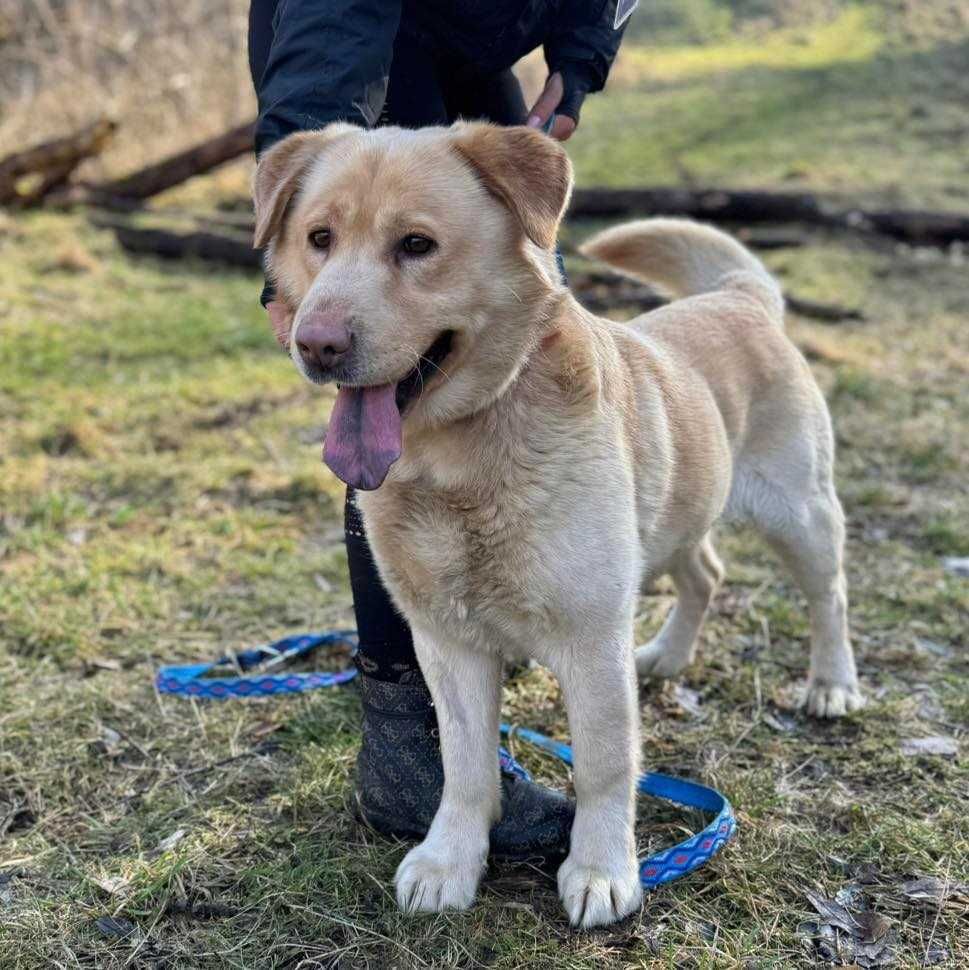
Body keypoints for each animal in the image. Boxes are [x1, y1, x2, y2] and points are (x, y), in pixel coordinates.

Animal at [251, 119, 864, 924]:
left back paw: (832, 684)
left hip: (799, 516)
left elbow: (604, 765)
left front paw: (603, 869)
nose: (316, 344)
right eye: (319, 237)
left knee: (828, 597)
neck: (457, 463)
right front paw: (450, 861)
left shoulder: (591, 640)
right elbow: (465, 768)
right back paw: (668, 655)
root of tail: (740, 297)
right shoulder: (446, 644)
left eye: (416, 244)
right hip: (673, 520)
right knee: (706, 573)